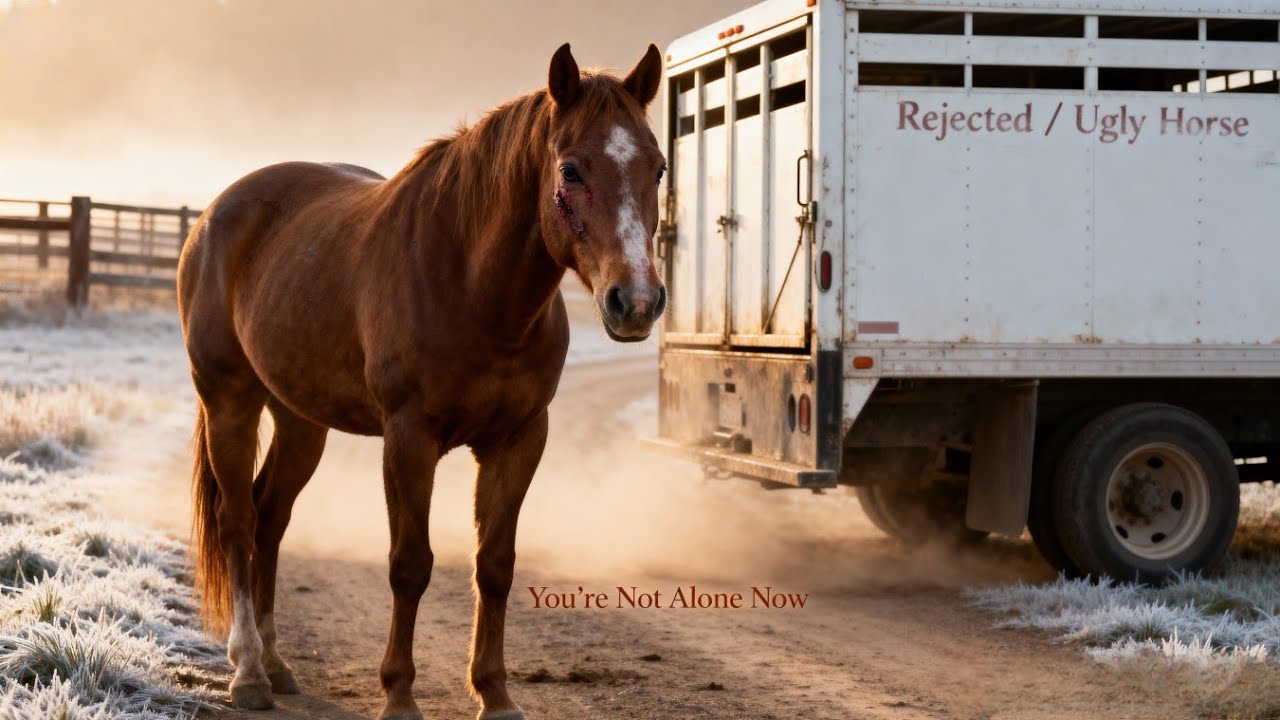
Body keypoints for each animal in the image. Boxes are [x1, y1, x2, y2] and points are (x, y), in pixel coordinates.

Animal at [177, 43, 666, 720]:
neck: (471, 285)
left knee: (271, 515)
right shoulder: (409, 440)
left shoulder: (520, 440)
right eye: (570, 171)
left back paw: (275, 664)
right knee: (238, 521)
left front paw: (495, 693)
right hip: (230, 401)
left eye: (659, 169)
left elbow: (495, 565)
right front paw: (399, 694)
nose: (636, 302)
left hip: (301, 421)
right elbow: (410, 564)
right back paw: (248, 671)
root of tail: (212, 218)